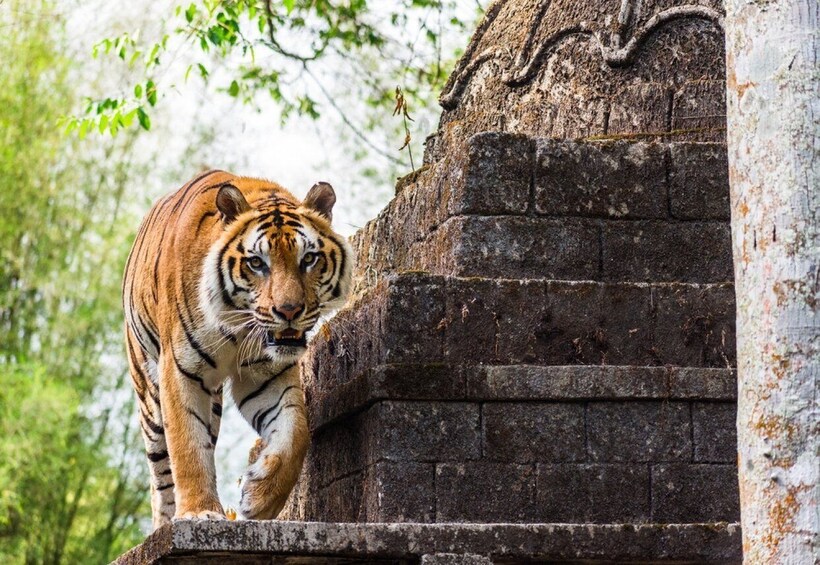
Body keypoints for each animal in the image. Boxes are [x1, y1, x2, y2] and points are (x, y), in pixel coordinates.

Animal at [121, 169, 350, 528]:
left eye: (309, 259)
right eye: (257, 263)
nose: (288, 311)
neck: (239, 330)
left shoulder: (267, 375)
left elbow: (296, 431)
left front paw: (259, 499)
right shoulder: (180, 369)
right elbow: (187, 445)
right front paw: (199, 511)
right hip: (148, 393)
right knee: (161, 474)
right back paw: (163, 524)